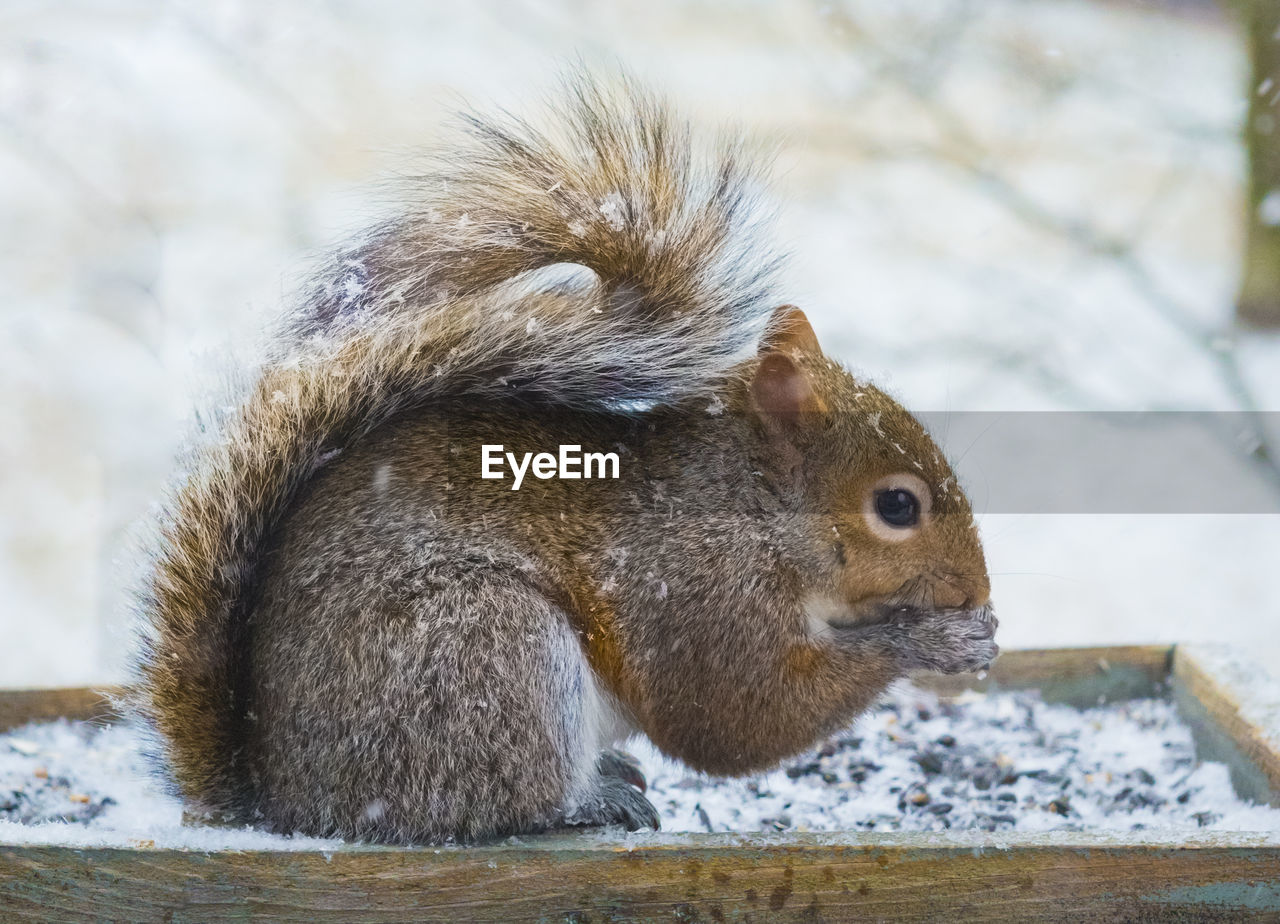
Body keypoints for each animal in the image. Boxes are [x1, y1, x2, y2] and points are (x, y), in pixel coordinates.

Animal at [124, 75, 993, 844]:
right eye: (897, 506)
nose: (975, 591)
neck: (757, 513)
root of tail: (282, 797)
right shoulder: (693, 592)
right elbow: (731, 718)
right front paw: (937, 641)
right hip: (485, 648)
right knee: (500, 800)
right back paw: (588, 801)